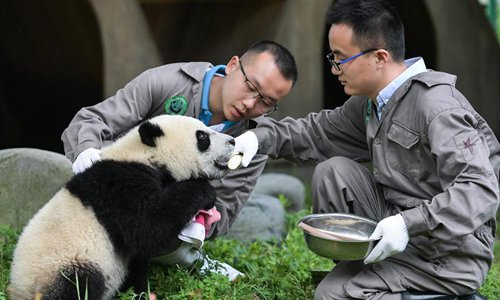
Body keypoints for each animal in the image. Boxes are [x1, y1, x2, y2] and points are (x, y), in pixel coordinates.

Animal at [9, 115, 236, 300]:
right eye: (202, 137)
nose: (232, 141)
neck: (142, 155)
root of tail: (17, 291)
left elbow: (138, 258)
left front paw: (139, 293)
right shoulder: (120, 187)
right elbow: (148, 228)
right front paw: (205, 192)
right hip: (60, 264)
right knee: (78, 283)